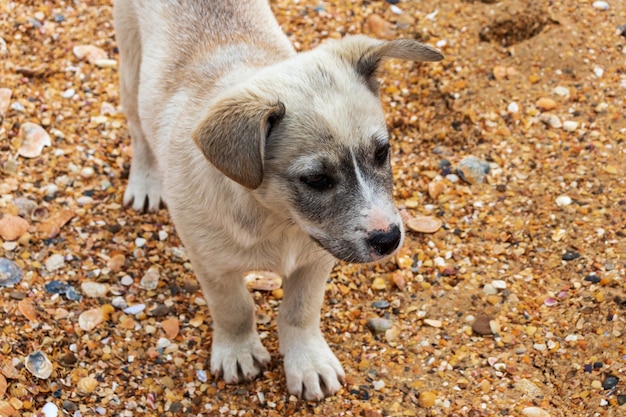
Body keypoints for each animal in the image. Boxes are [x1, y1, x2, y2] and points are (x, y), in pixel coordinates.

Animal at [114, 0, 442, 398]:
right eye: (316, 180)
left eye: (382, 153)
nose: (389, 240)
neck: (276, 219)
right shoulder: (212, 264)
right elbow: (234, 308)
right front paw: (239, 352)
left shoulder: (315, 261)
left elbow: (299, 312)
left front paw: (308, 364)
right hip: (131, 68)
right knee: (137, 128)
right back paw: (145, 181)